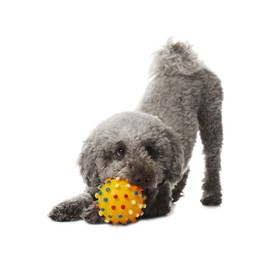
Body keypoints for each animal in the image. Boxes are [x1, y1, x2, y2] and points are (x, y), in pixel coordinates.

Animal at [48, 40, 224, 223]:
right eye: (120, 151)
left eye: (151, 150)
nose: (142, 178)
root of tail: (185, 62)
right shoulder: (95, 184)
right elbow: (83, 196)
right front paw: (66, 207)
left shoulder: (158, 203)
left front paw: (96, 212)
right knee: (186, 166)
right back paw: (177, 192)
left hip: (212, 119)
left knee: (212, 162)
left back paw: (212, 195)